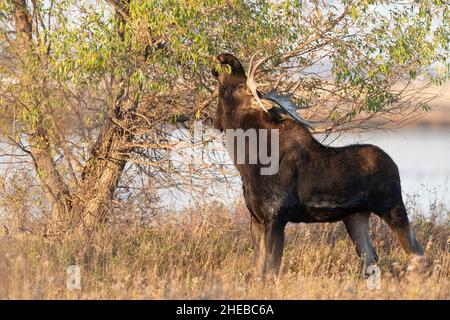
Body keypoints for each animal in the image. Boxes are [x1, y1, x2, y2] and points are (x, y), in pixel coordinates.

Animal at [213, 52, 424, 276]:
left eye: (240, 84)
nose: (224, 57)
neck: (247, 162)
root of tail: (395, 165)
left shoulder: (276, 217)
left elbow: (271, 269)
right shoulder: (257, 218)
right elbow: (258, 268)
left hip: (392, 206)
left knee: (416, 252)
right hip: (356, 216)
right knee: (370, 257)